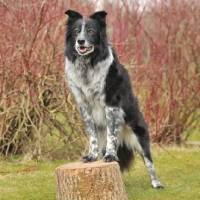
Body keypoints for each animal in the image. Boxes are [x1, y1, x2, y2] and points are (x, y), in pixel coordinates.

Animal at [64, 9, 164, 189]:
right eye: (76, 31)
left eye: (91, 31)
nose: (80, 41)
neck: (88, 65)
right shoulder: (85, 106)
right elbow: (92, 136)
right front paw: (91, 156)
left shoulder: (111, 103)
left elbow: (111, 133)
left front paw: (110, 155)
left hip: (138, 132)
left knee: (148, 161)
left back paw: (157, 183)